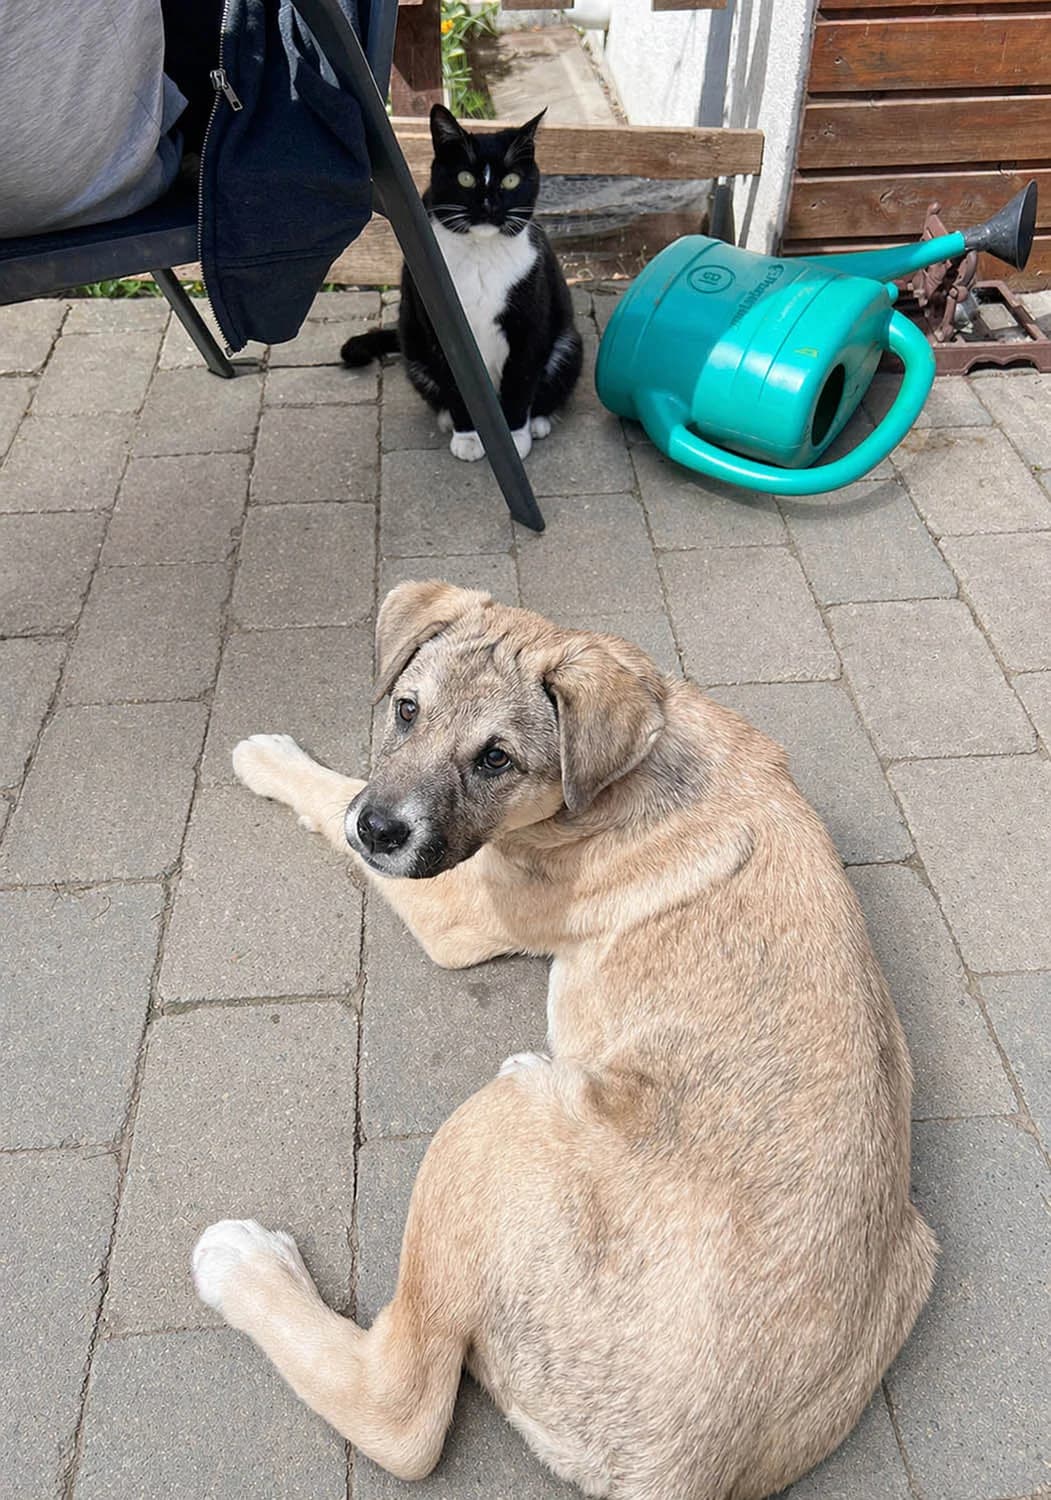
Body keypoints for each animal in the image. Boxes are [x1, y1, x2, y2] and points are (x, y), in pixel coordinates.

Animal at [192, 581, 936, 1500]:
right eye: (406, 709)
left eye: (496, 760)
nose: (380, 830)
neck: (631, 774)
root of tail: (679, 1467)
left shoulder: (456, 907)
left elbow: (327, 795)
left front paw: (270, 759)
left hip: (490, 1130)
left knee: (402, 1410)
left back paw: (243, 1267)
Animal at [341, 104, 582, 462]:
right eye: (465, 178)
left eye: (511, 180)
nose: (489, 205)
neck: (481, 255)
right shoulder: (438, 326)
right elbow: (457, 384)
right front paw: (468, 437)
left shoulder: (529, 324)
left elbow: (519, 380)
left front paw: (515, 437)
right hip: (413, 341)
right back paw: (446, 419)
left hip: (567, 342)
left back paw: (538, 422)